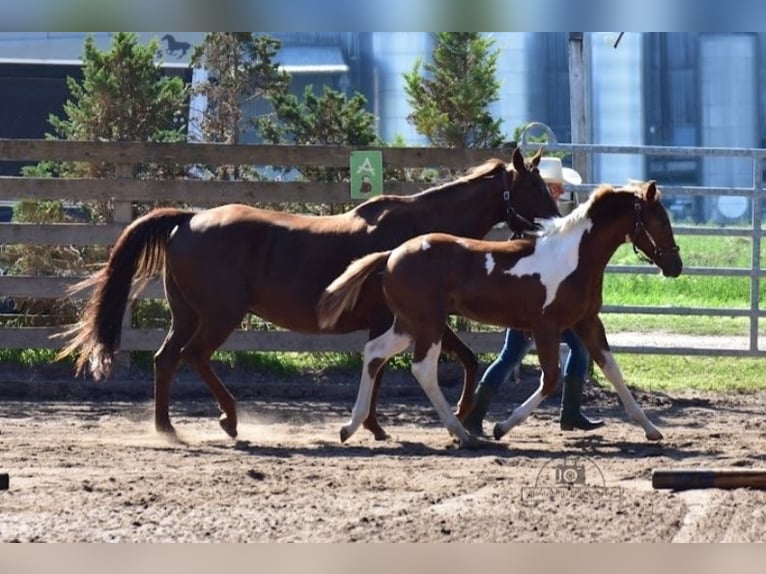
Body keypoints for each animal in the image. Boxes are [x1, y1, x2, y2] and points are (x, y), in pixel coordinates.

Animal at [58, 147, 564, 440]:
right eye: (534, 186)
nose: (557, 225)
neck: (414, 231)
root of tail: (188, 218)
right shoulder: (406, 319)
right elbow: (430, 362)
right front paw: (446, 416)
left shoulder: (397, 321)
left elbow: (394, 367)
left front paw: (375, 426)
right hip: (219, 315)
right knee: (194, 356)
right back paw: (228, 420)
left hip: (186, 314)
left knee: (166, 359)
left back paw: (166, 429)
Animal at [318, 180, 684, 450]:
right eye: (660, 220)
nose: (675, 266)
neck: (574, 257)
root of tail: (392, 253)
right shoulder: (546, 326)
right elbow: (550, 379)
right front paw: (501, 427)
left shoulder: (587, 322)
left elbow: (613, 370)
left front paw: (651, 429)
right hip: (428, 324)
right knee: (422, 369)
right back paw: (462, 433)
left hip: (408, 324)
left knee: (374, 353)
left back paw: (351, 427)